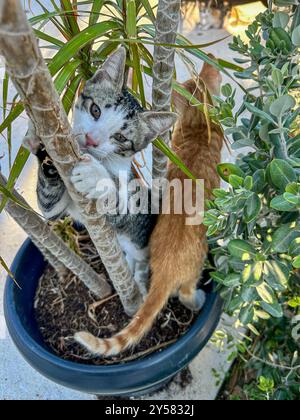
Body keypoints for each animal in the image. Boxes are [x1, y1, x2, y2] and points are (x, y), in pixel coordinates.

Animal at [25, 46, 177, 292]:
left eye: (120, 137)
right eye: (95, 110)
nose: (91, 140)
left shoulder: (132, 206)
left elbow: (119, 205)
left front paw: (95, 177)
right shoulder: (52, 209)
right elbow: (48, 206)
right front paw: (40, 143)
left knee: (143, 260)